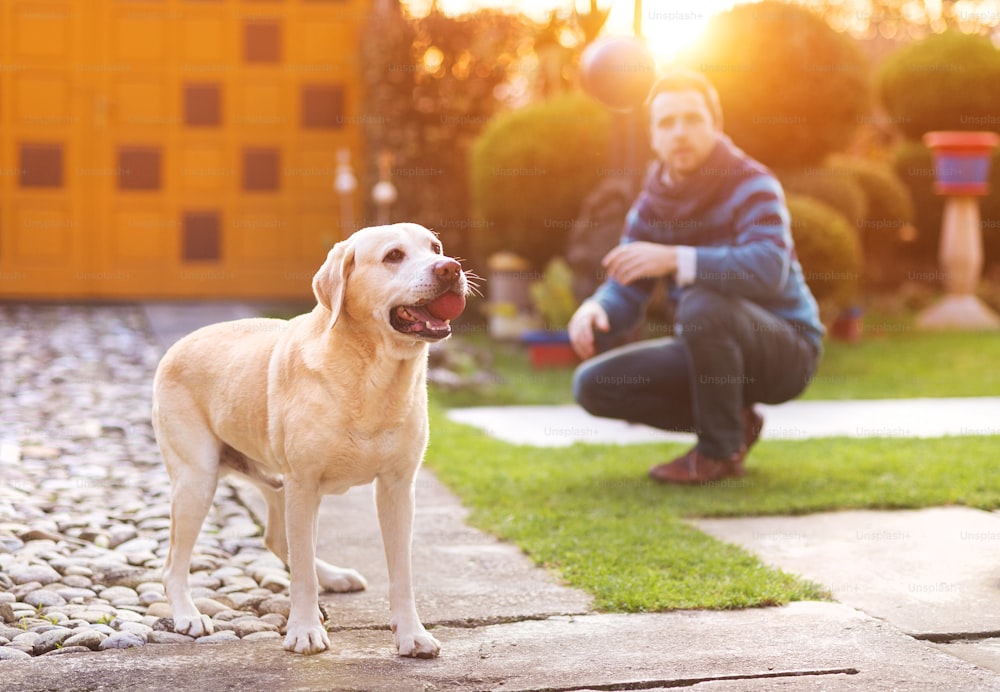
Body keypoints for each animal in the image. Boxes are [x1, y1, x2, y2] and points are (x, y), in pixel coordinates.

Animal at [152, 224, 468, 656]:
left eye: (435, 248)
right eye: (393, 256)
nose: (450, 268)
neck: (372, 375)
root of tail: (178, 344)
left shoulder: (397, 488)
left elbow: (400, 574)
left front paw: (411, 634)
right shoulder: (303, 484)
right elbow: (301, 572)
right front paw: (303, 630)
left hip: (275, 484)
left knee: (277, 539)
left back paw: (333, 576)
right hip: (198, 482)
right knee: (174, 566)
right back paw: (188, 614)